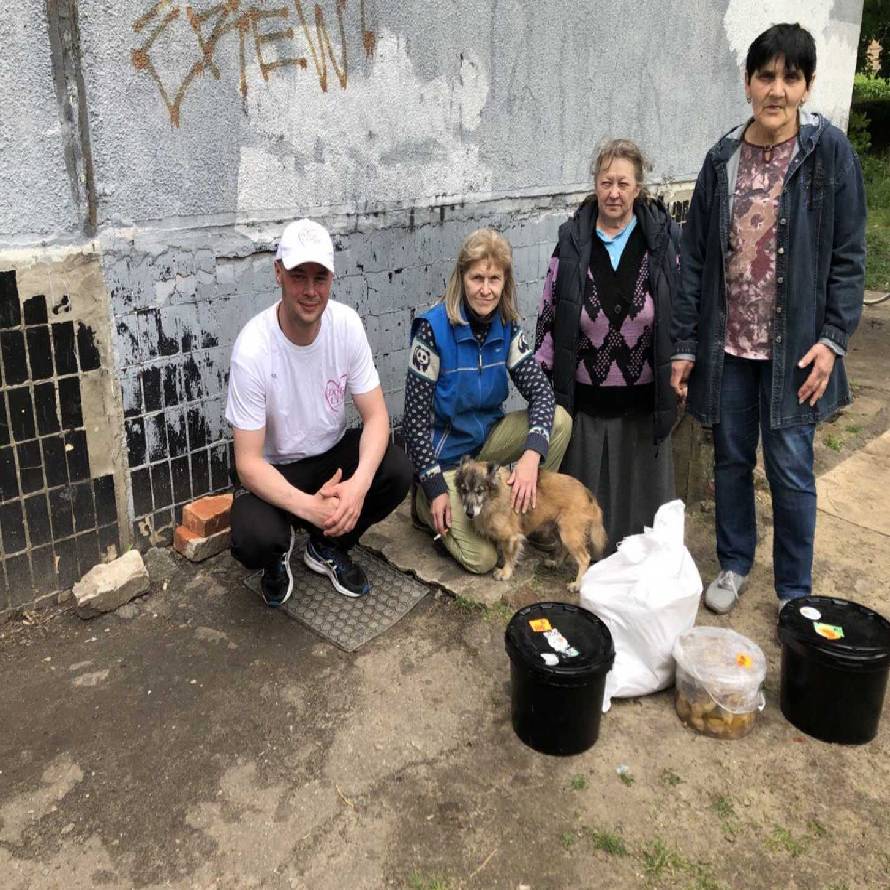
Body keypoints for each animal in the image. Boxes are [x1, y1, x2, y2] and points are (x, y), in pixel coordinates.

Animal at [454, 458, 608, 588]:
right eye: (464, 490)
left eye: (480, 491)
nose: (469, 513)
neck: (493, 499)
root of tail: (588, 494)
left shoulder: (510, 537)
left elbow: (508, 555)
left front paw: (505, 573)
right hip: (558, 529)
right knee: (564, 549)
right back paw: (555, 563)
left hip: (569, 533)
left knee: (584, 558)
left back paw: (577, 584)